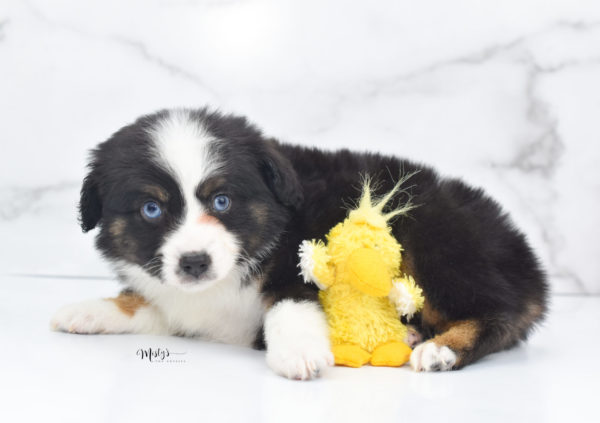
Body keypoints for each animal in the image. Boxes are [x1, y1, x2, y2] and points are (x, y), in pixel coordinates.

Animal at [51, 107, 548, 380]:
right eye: (151, 210)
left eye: (222, 200)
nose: (194, 263)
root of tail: (526, 259)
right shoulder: (186, 301)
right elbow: (150, 304)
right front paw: (87, 311)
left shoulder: (297, 264)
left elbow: (290, 306)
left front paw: (300, 355)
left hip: (435, 241)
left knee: (499, 313)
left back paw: (441, 349)